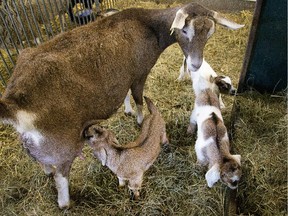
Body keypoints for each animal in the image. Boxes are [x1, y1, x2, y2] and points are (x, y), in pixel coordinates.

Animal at [0, 2, 243, 209]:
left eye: (210, 34)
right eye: (185, 31)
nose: (195, 65)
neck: (148, 26)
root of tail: (14, 104)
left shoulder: (125, 77)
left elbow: (126, 94)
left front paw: (126, 110)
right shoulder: (139, 73)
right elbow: (138, 98)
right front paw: (139, 119)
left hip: (36, 144)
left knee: (37, 159)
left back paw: (45, 171)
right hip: (62, 146)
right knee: (61, 181)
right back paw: (66, 203)